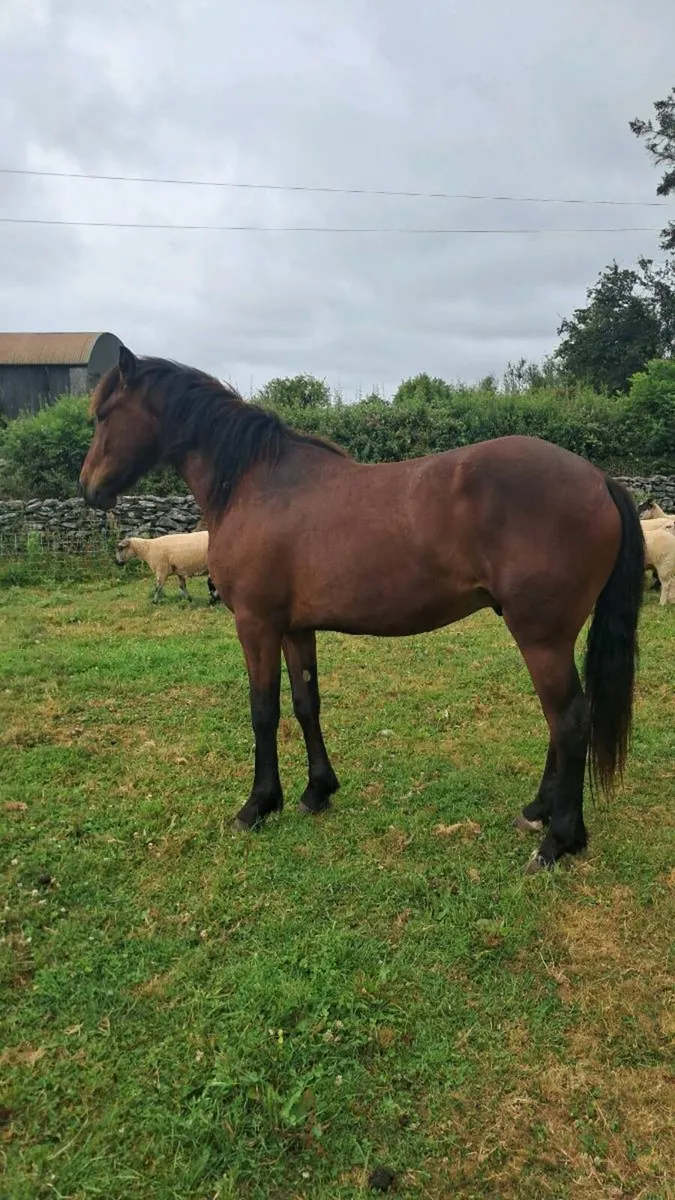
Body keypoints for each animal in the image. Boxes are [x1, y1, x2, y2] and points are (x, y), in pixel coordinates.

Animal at [79, 346, 644, 873]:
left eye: (104, 414)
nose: (88, 488)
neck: (255, 484)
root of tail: (599, 479)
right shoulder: (294, 629)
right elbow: (305, 703)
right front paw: (316, 791)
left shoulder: (256, 624)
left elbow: (263, 711)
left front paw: (257, 806)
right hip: (548, 637)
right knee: (561, 719)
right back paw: (537, 812)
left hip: (541, 637)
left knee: (569, 720)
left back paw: (559, 840)